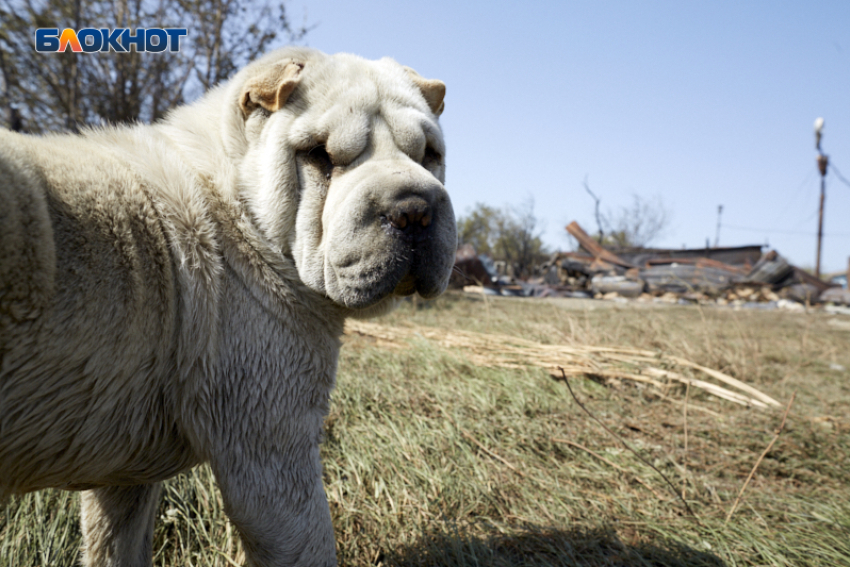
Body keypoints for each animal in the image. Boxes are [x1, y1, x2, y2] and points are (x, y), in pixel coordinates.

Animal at [0, 47, 458, 567]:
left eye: (429, 154)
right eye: (319, 155)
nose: (414, 209)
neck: (240, 209)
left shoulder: (124, 475)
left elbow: (116, 544)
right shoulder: (272, 453)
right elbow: (313, 546)